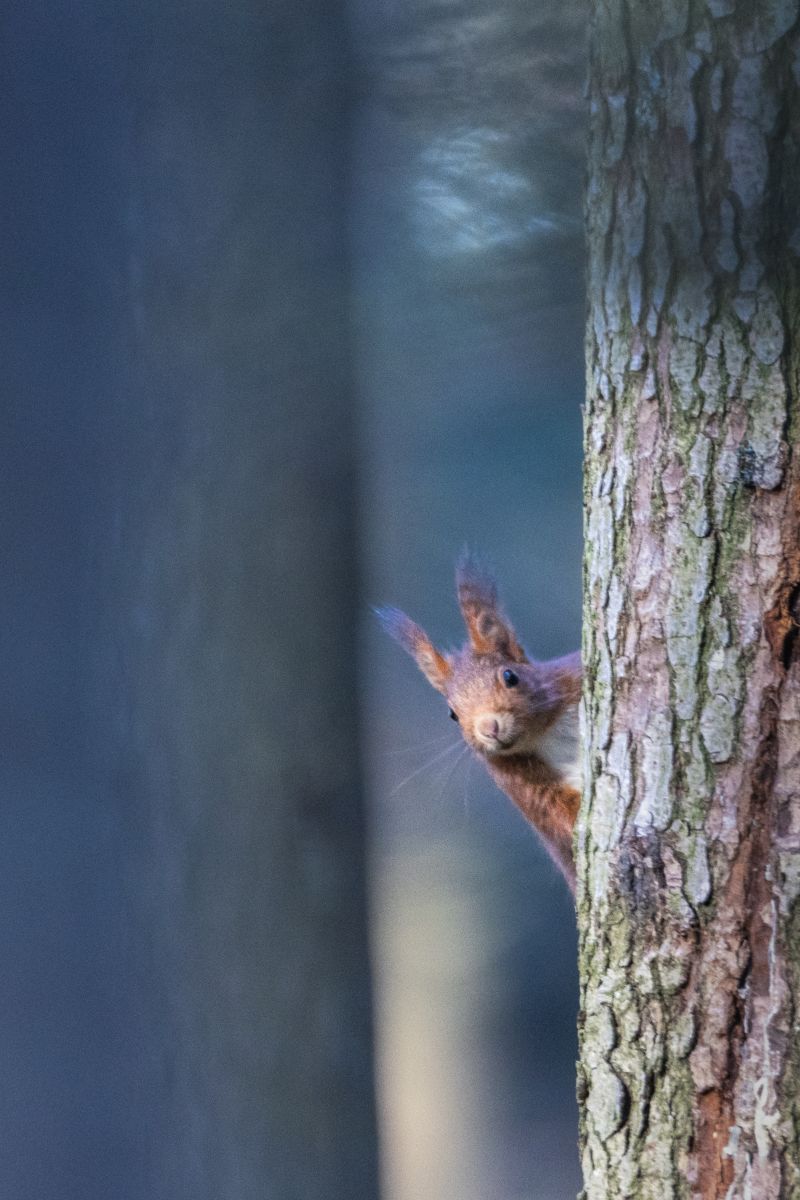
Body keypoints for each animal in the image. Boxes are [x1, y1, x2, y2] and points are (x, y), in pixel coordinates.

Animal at [377, 555, 582, 892]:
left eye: (510, 676)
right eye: (452, 714)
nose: (489, 728)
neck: (545, 732)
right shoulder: (519, 781)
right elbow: (560, 815)